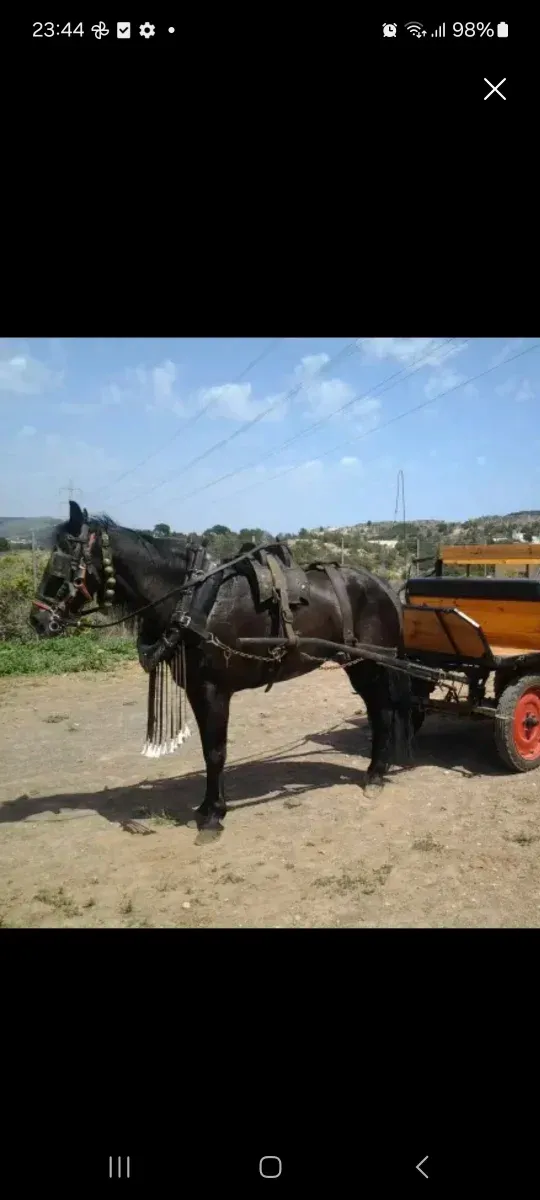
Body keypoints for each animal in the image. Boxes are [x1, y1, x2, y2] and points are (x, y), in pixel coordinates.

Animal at [30, 501, 414, 835]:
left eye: (63, 559)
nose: (37, 619)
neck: (191, 599)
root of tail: (382, 584)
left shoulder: (213, 690)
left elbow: (215, 751)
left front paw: (214, 815)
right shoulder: (197, 690)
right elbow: (206, 750)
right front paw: (206, 808)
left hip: (370, 662)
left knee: (382, 710)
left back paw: (375, 774)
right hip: (358, 663)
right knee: (380, 710)